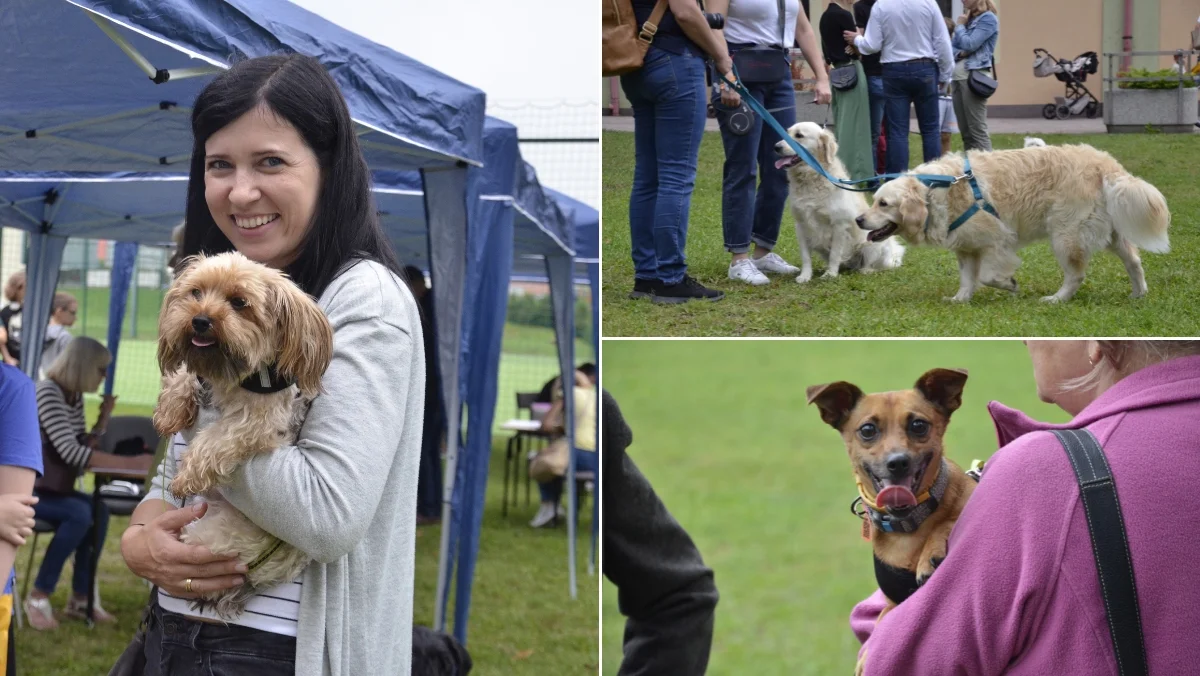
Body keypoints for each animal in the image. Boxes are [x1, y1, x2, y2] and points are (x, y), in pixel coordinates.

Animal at [154, 250, 336, 614]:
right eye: (196, 292)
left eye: (239, 302)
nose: (200, 320)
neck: (234, 376)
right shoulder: (203, 372)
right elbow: (183, 374)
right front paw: (170, 409)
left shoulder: (258, 422)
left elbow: (215, 438)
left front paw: (186, 477)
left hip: (213, 539)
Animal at [806, 369, 974, 624]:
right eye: (867, 430)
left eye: (918, 425)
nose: (897, 462)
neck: (907, 525)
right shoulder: (891, 606)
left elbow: (950, 520)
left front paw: (930, 554)